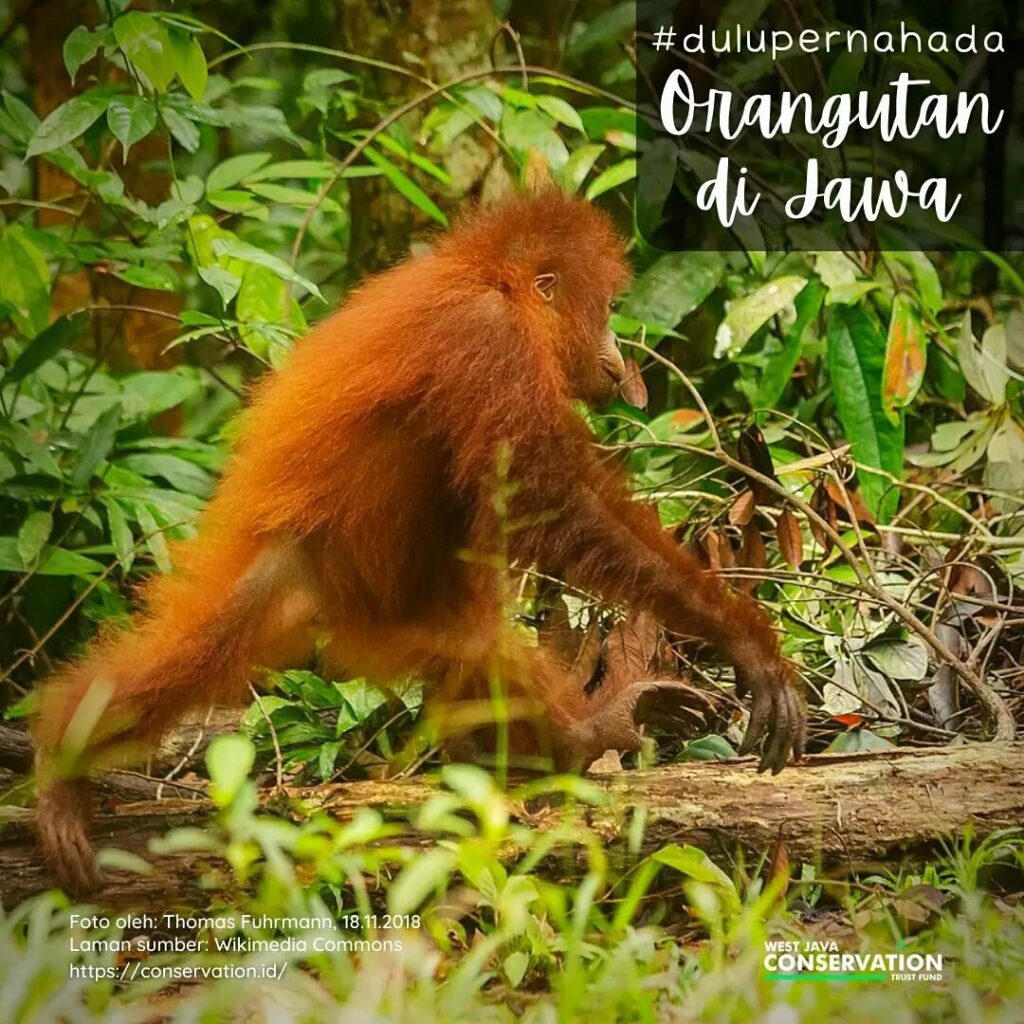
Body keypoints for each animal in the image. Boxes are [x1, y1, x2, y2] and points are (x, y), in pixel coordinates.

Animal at [33, 189, 805, 894]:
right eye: (609, 310)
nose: (618, 350)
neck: (492, 283)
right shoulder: (490, 343)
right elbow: (559, 501)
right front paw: (748, 642)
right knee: (198, 654)